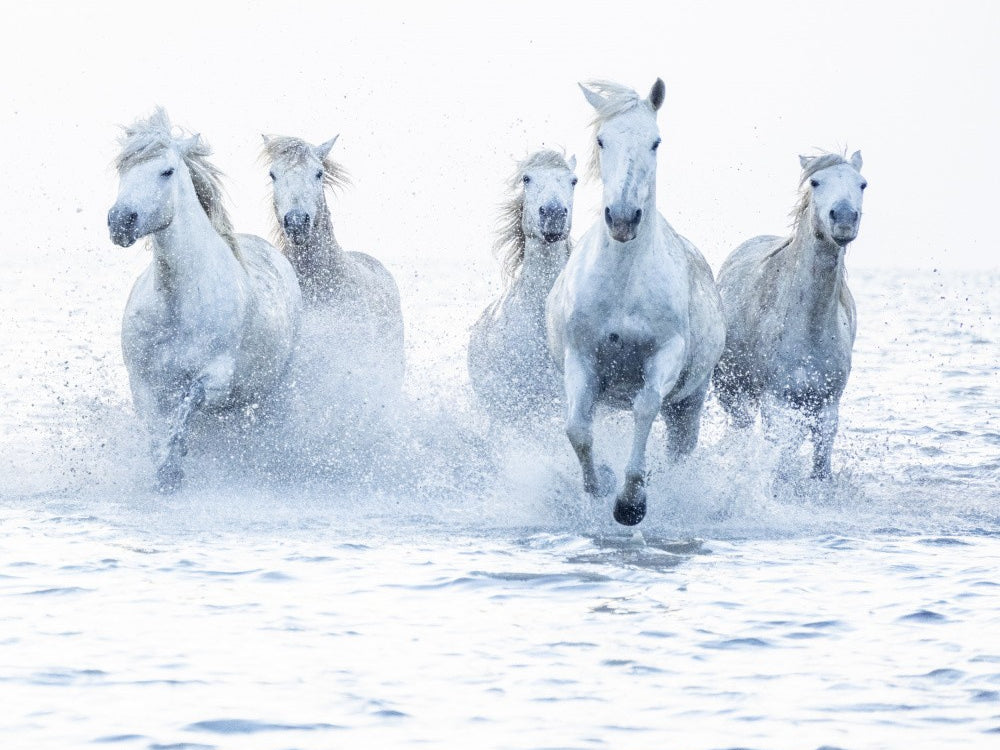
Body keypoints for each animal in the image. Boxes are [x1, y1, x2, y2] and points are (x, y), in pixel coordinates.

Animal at [108, 108, 302, 492]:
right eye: (123, 169)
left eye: (166, 171)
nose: (120, 221)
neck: (177, 304)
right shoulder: (142, 382)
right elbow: (157, 428)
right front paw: (166, 469)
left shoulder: (216, 379)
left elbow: (187, 405)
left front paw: (173, 467)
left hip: (274, 388)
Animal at [546, 79, 725, 526]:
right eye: (602, 140)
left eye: (655, 142)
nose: (624, 218)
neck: (624, 284)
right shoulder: (581, 359)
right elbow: (577, 429)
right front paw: (600, 485)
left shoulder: (665, 354)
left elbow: (645, 408)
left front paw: (631, 502)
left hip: (689, 402)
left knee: (680, 449)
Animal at [712, 151, 866, 479]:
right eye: (815, 181)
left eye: (862, 183)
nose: (844, 218)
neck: (810, 325)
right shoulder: (775, 403)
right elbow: (778, 455)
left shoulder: (827, 407)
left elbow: (819, 464)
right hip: (733, 393)